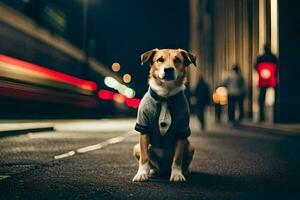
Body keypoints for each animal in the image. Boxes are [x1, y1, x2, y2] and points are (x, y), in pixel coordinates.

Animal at [132, 48, 196, 181]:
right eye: (160, 59)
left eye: (177, 60)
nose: (168, 69)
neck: (165, 96)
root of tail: (164, 170)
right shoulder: (144, 127)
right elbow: (144, 157)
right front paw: (141, 174)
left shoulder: (182, 130)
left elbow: (177, 158)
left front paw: (177, 174)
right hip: (136, 147)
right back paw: (152, 171)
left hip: (191, 147)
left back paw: (185, 171)